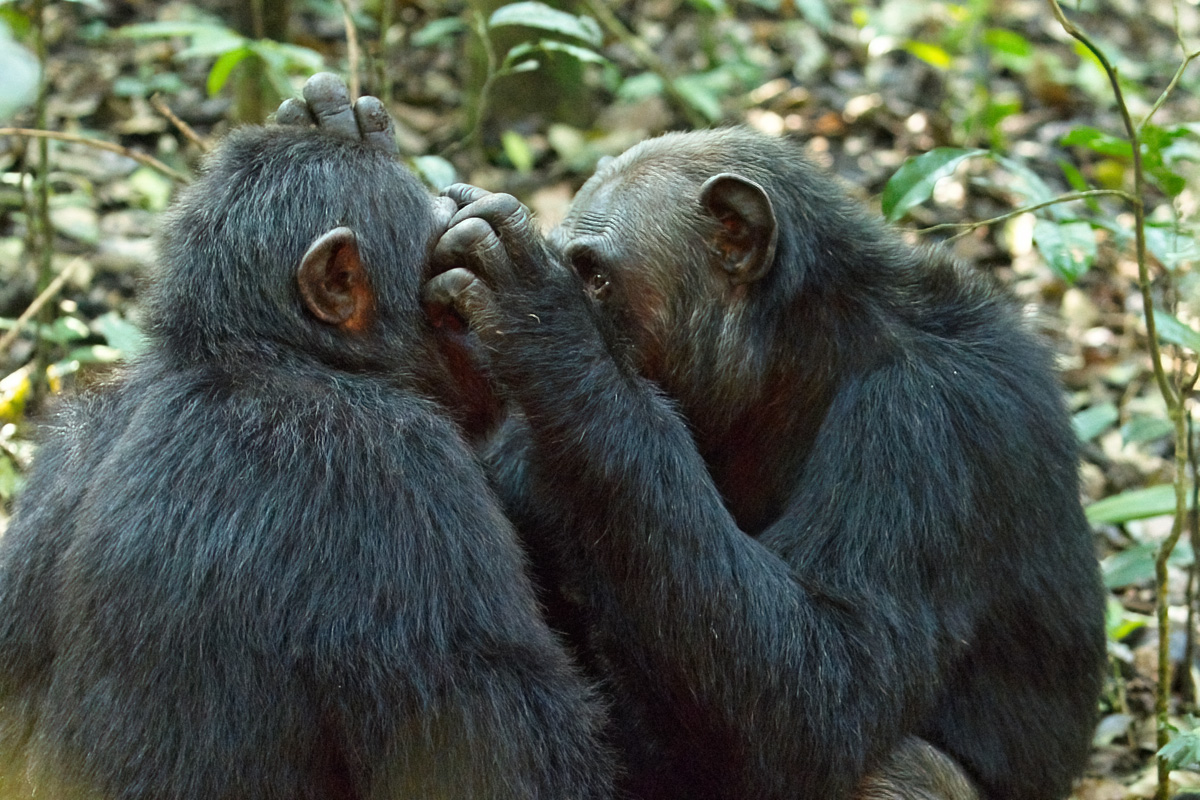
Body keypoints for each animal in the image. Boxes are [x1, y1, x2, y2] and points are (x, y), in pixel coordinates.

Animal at [0, 125, 614, 800]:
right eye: (447, 276)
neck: (258, 355)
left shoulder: (67, 446)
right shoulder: (403, 474)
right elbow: (499, 769)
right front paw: (541, 310)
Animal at [422, 126, 1104, 800]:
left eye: (592, 277)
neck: (797, 354)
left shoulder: (931, 422)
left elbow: (830, 680)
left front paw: (541, 321)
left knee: (901, 767)